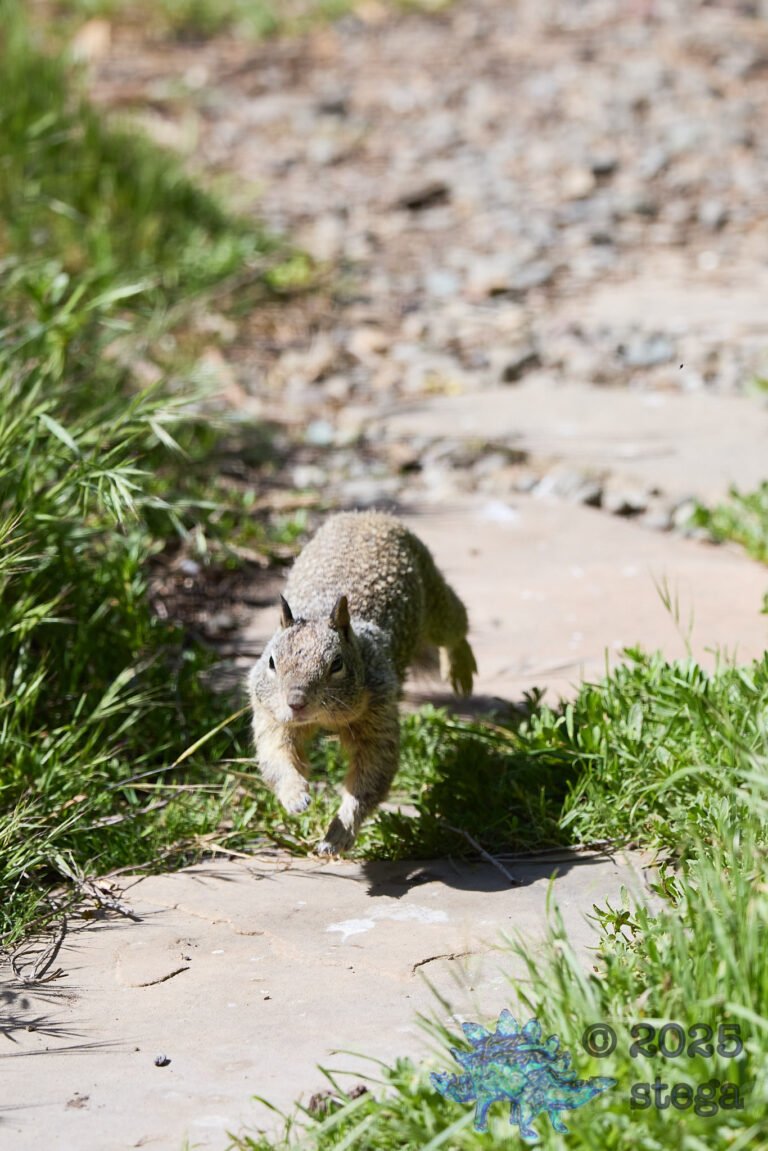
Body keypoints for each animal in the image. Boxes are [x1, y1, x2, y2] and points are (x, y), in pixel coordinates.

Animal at [247, 510, 477, 855]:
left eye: (337, 664)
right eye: (272, 662)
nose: (296, 703)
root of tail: (369, 515)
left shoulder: (377, 712)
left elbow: (371, 775)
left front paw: (338, 833)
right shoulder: (270, 714)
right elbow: (277, 755)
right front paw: (295, 796)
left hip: (435, 602)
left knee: (455, 624)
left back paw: (460, 668)